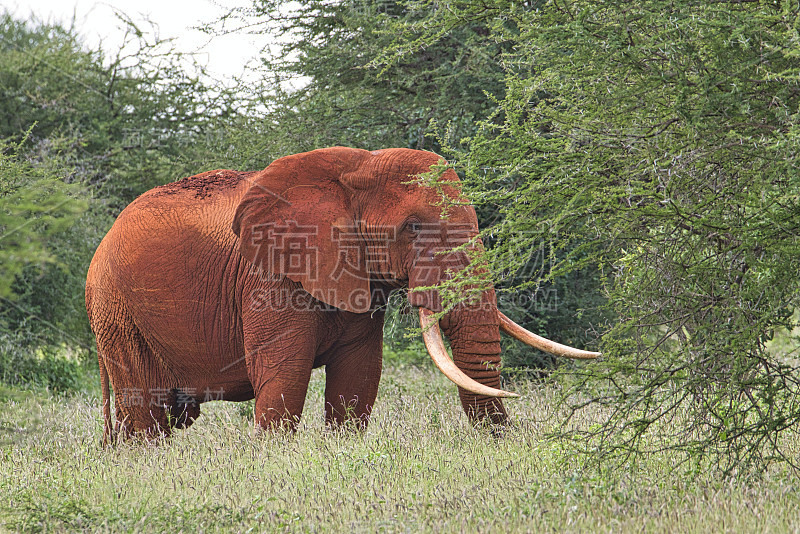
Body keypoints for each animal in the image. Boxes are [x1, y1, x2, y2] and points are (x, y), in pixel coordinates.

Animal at [86, 148, 600, 444]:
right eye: (413, 228)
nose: (508, 440)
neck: (354, 168)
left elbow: (359, 374)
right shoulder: (270, 277)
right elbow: (285, 373)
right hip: (116, 310)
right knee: (145, 413)